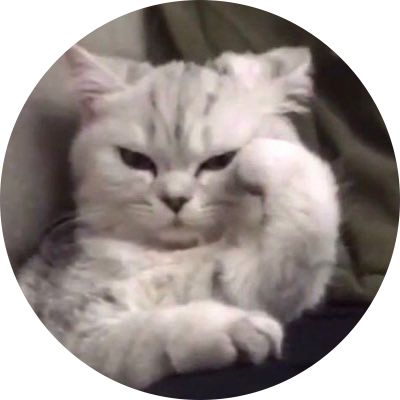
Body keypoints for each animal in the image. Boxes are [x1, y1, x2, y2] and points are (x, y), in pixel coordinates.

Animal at [16, 45, 340, 390]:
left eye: (219, 161)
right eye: (134, 159)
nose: (175, 199)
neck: (172, 257)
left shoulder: (256, 283)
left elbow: (305, 224)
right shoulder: (74, 322)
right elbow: (147, 331)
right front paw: (234, 328)